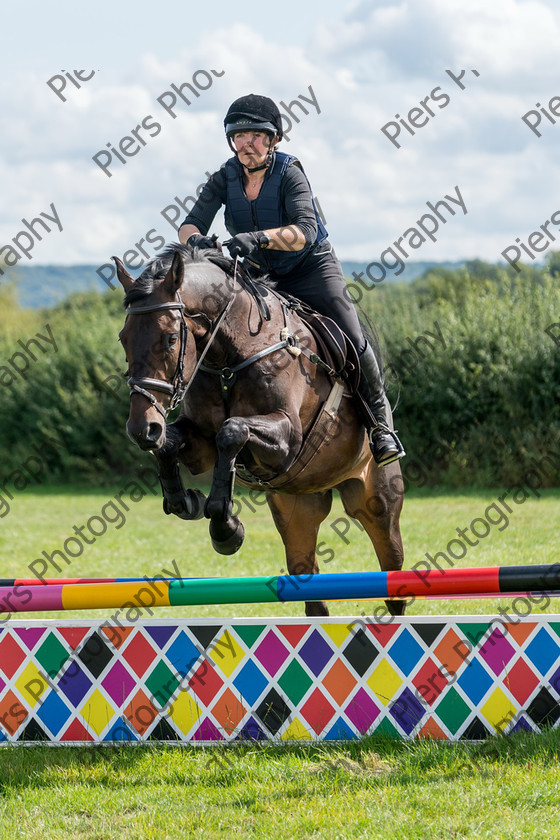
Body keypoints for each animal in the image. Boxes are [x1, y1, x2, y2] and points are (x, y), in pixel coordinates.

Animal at [115, 243, 402, 616]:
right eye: (123, 339)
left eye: (170, 338)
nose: (141, 428)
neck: (230, 355)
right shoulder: (202, 444)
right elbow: (173, 446)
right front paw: (186, 501)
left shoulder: (288, 440)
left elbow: (232, 431)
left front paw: (225, 528)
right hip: (297, 511)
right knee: (311, 590)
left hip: (377, 502)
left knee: (392, 574)